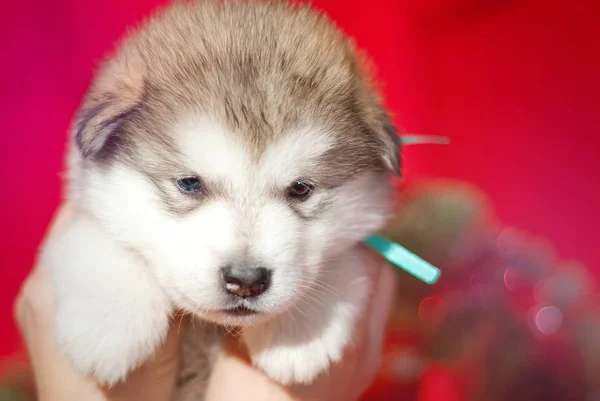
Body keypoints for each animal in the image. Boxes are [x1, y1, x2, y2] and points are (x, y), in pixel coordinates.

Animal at [41, 0, 398, 394]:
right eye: (189, 183)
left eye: (301, 189)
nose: (246, 281)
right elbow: (98, 239)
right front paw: (109, 324)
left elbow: (344, 259)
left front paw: (300, 332)